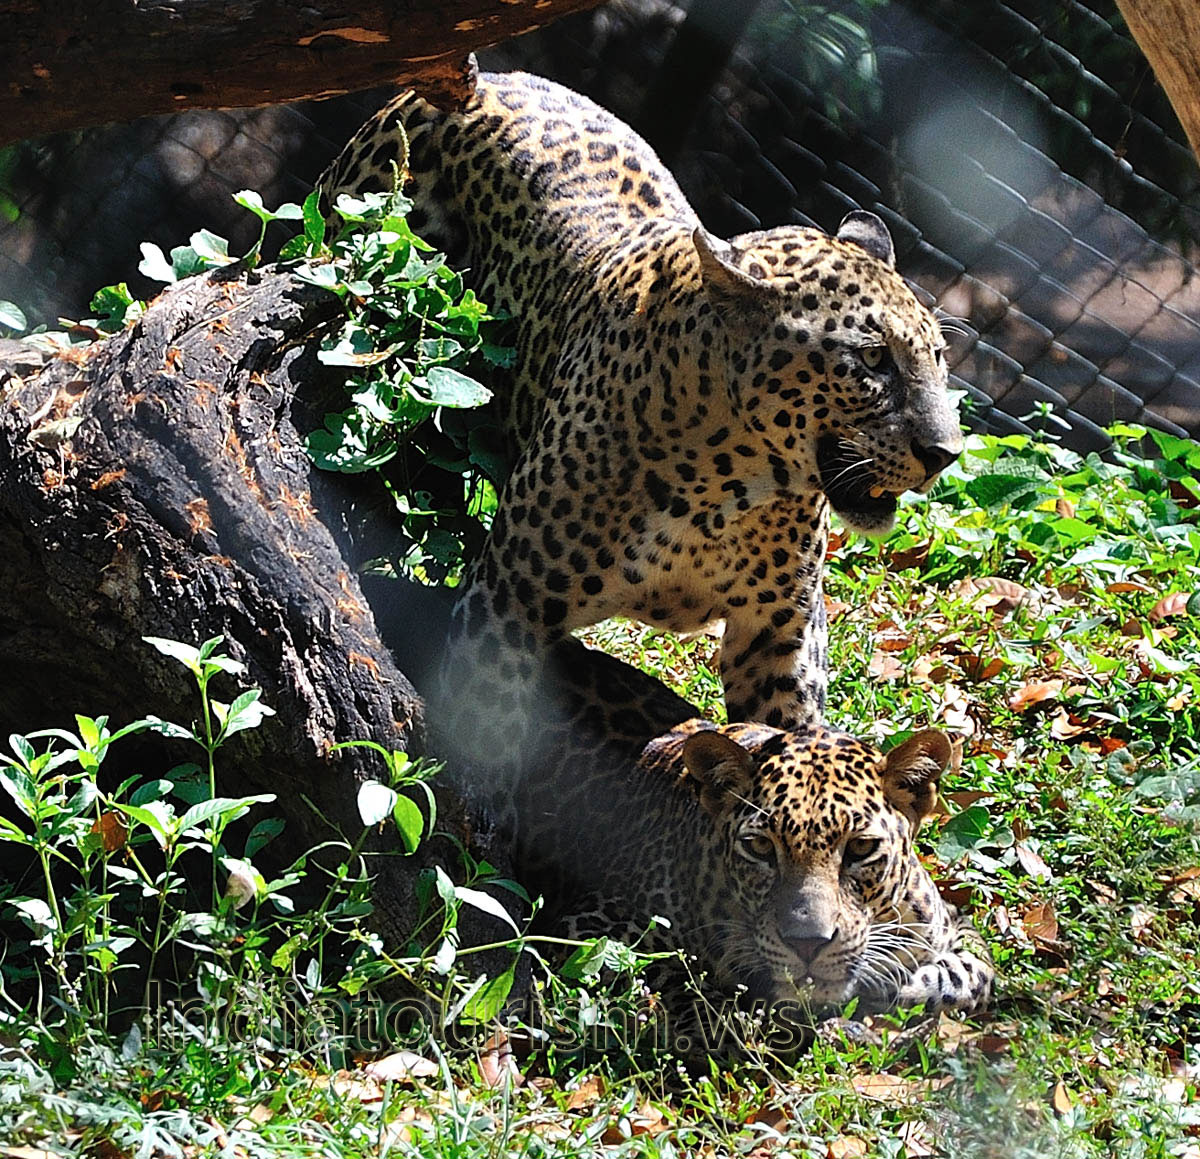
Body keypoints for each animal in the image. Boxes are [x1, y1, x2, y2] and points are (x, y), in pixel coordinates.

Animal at [319, 64, 964, 734]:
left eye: (939, 357)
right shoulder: (508, 607)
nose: (944, 453)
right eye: (873, 359)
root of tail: (471, 79)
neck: (728, 488)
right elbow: (490, 729)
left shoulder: (779, 639)